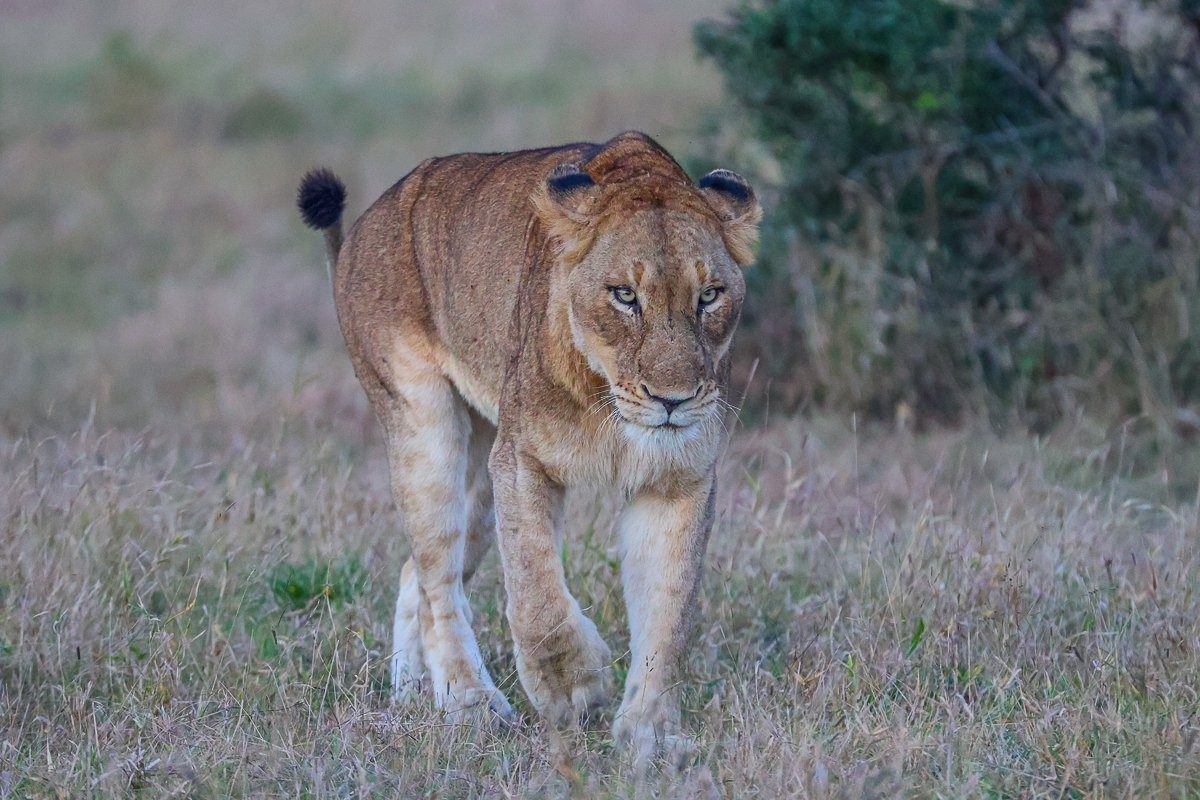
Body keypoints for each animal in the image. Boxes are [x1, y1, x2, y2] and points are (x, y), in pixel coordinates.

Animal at [297, 131, 760, 757]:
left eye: (709, 296)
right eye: (624, 296)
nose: (674, 400)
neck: (609, 404)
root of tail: (363, 227)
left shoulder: (677, 481)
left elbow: (668, 612)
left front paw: (650, 736)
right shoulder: (520, 460)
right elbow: (536, 592)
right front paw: (571, 687)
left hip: (480, 480)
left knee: (415, 574)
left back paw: (414, 693)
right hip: (425, 430)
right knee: (439, 578)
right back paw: (469, 703)